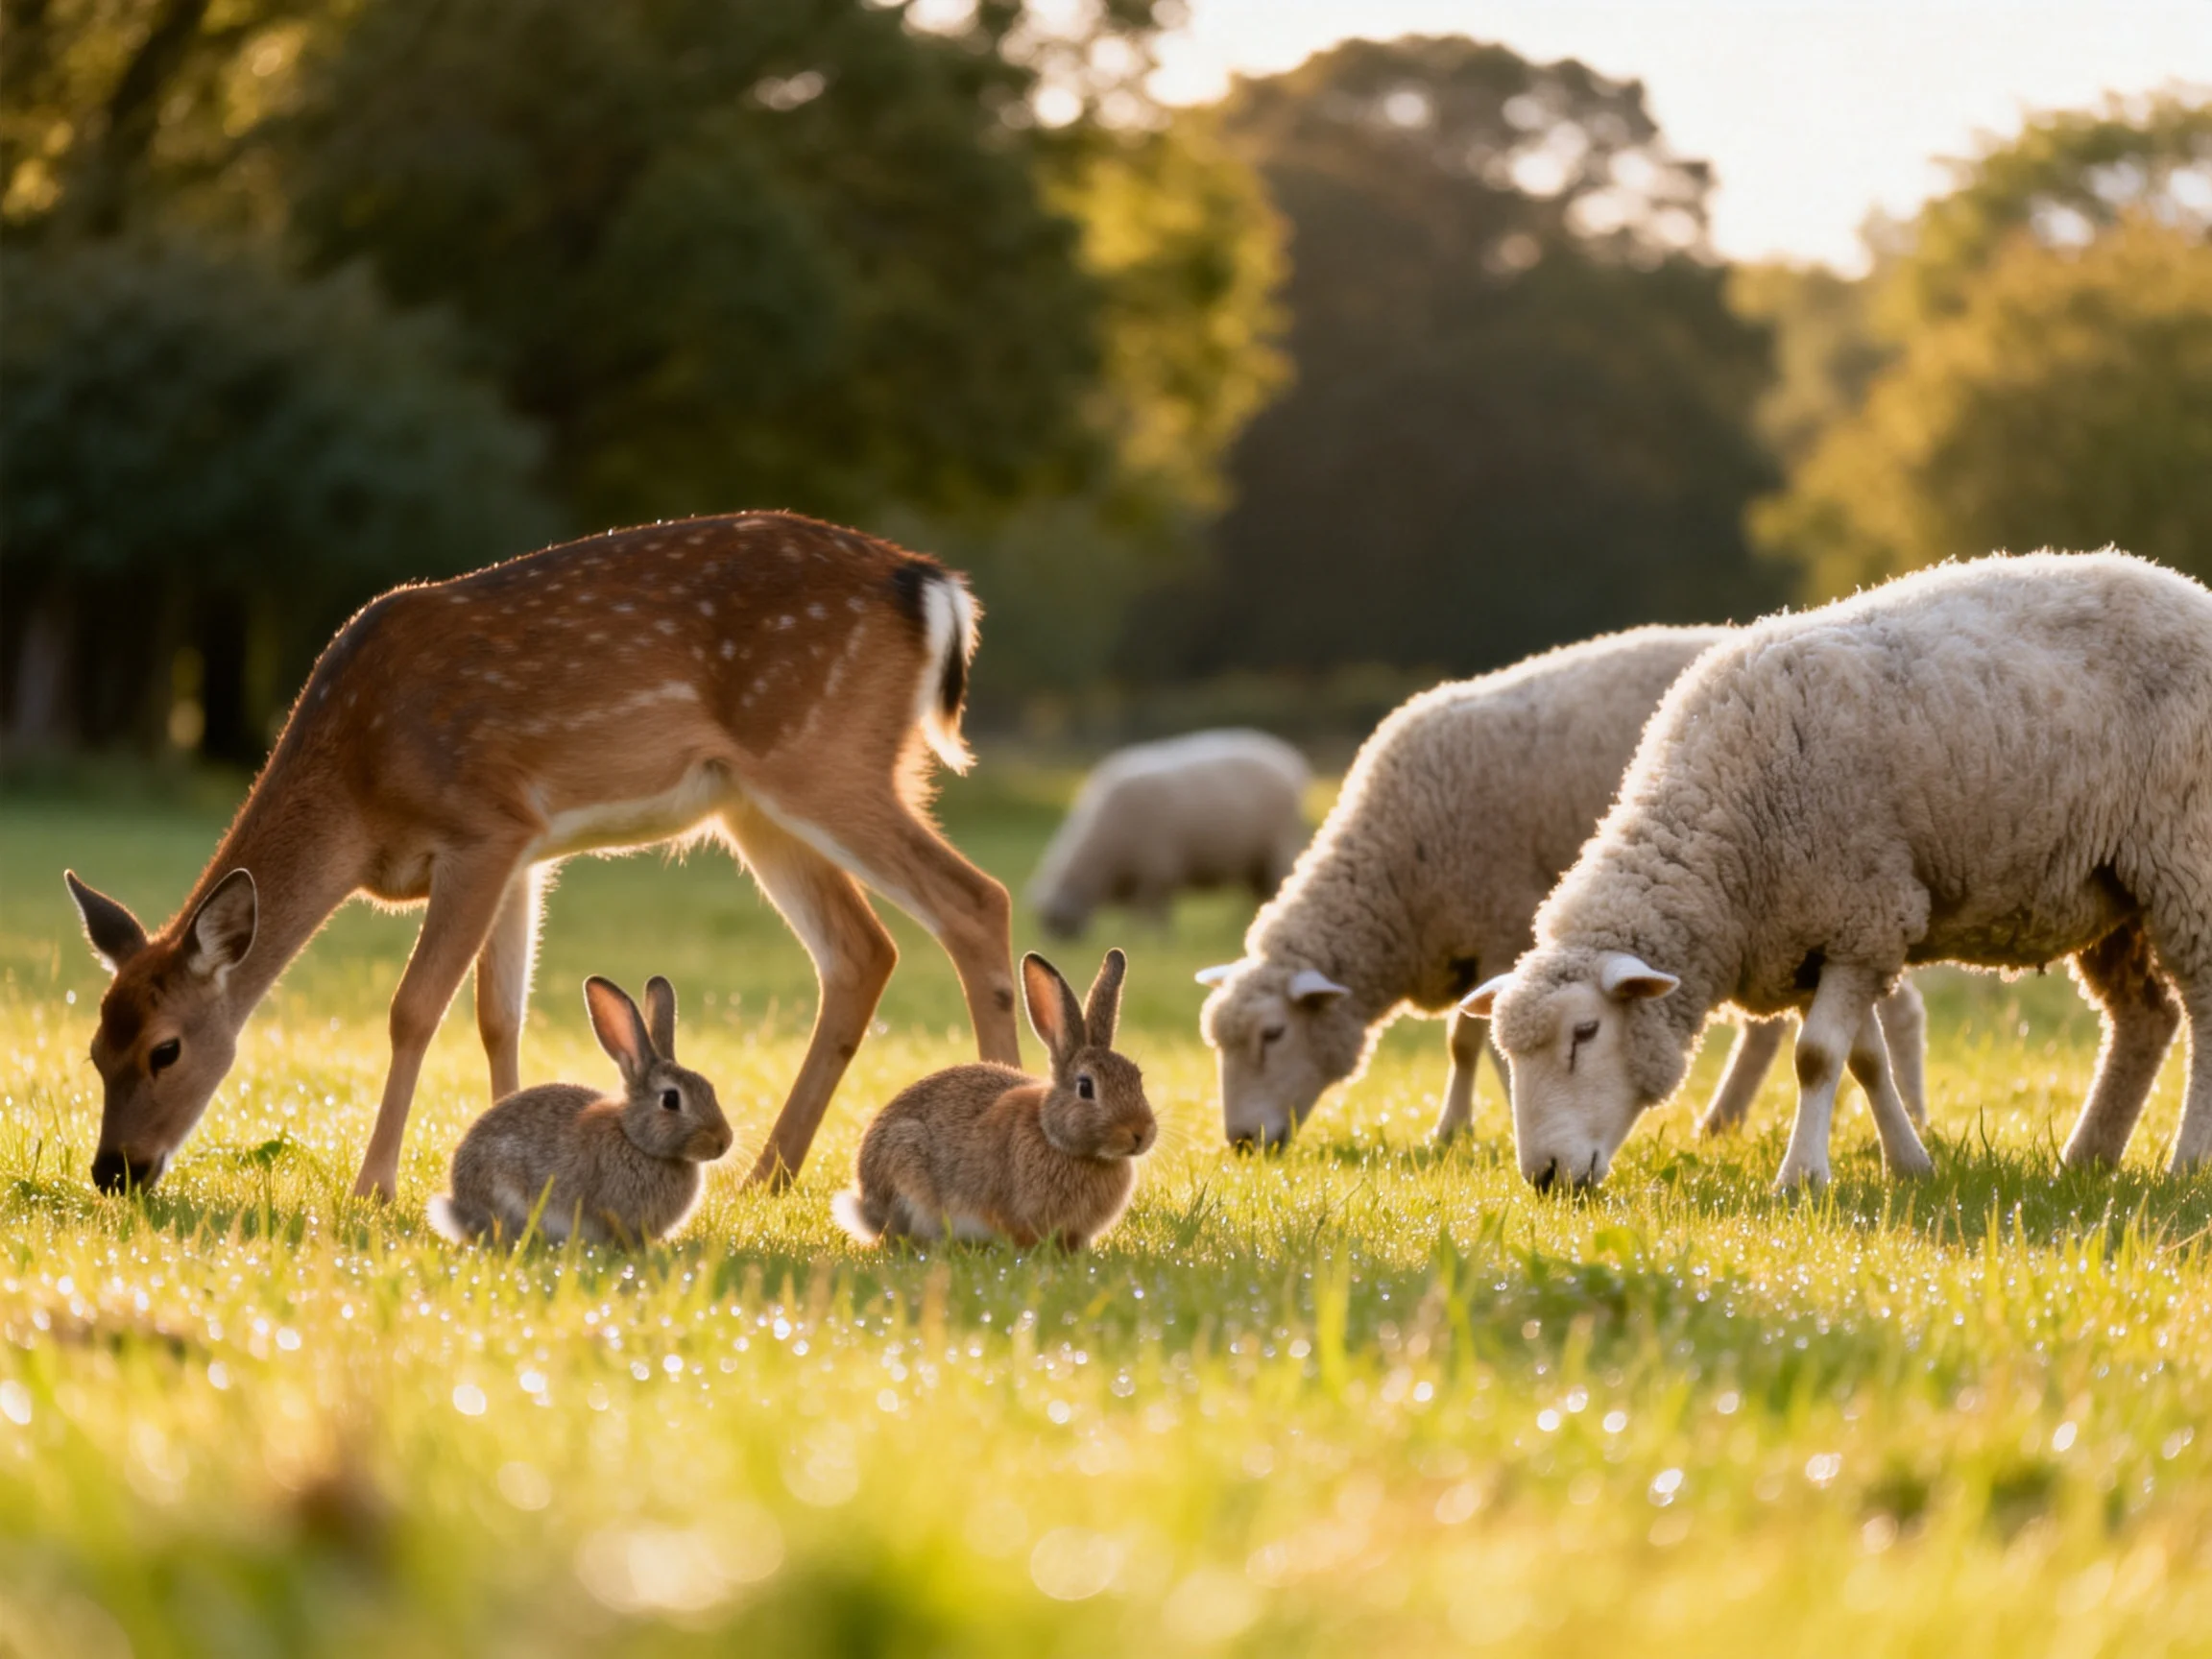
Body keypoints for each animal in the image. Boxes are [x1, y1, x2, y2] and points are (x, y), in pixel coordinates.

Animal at [63, 512, 1021, 1200]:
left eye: (164, 1050)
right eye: (95, 1050)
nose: (114, 1172)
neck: (360, 792)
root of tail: (933, 587)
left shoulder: (483, 828)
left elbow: (414, 1009)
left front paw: (373, 1188)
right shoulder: (524, 852)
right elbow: (500, 1016)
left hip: (822, 755)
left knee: (976, 900)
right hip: (755, 803)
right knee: (863, 950)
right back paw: (766, 1176)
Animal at [1029, 730, 1311, 939]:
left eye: (1054, 921)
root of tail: (1289, 759)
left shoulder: (1156, 871)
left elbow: (1153, 912)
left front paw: (1153, 939)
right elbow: (1139, 914)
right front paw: (1134, 937)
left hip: (1277, 843)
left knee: (1278, 882)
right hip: (1255, 859)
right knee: (1260, 891)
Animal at [1196, 625, 1931, 1149]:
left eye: (1272, 1035)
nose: (1242, 1143)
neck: (1396, 878)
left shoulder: (1497, 923)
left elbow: (1469, 1040)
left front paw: (1473, 1126)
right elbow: (1465, 1038)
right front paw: (1458, 1127)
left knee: (1894, 1008)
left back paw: (1914, 1119)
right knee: (1778, 1027)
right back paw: (1724, 1120)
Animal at [1464, 551, 2212, 1192]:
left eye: (1585, 1034)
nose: (1545, 1177)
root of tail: (2187, 587)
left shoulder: (1866, 916)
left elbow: (1817, 1057)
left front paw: (1801, 1178)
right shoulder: (1817, 940)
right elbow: (1863, 1058)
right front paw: (1910, 1166)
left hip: (2187, 855)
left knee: (2201, 1004)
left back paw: (2188, 1163)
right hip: (2110, 889)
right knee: (2143, 1019)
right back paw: (2085, 1161)